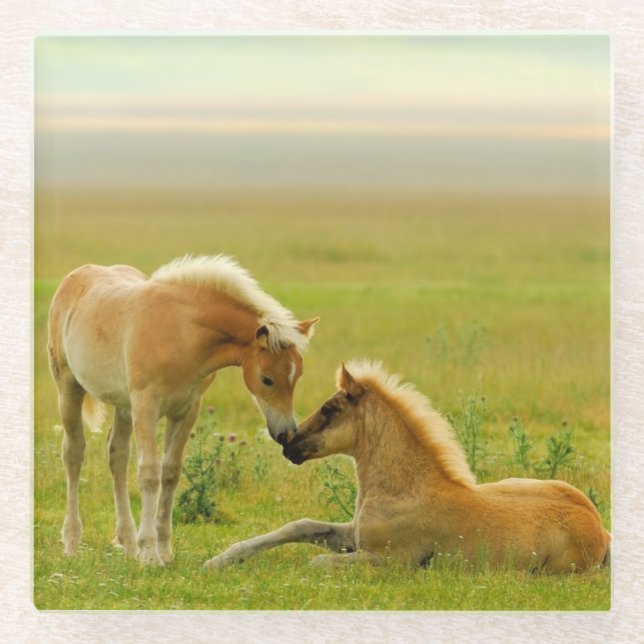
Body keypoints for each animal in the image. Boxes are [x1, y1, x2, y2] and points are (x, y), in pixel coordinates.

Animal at [47, 254, 318, 564]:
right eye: (266, 379)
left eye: (298, 375)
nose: (286, 433)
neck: (182, 333)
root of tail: (77, 275)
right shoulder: (146, 406)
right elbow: (149, 474)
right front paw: (149, 552)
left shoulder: (186, 410)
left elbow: (170, 474)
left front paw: (164, 551)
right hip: (69, 386)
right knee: (74, 453)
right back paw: (72, 542)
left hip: (123, 406)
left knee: (117, 457)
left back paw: (127, 543)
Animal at [204, 360, 610, 573]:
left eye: (329, 409)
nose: (289, 445)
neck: (405, 488)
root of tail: (601, 531)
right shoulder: (354, 536)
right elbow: (300, 526)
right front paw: (219, 560)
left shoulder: (390, 560)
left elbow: (316, 562)